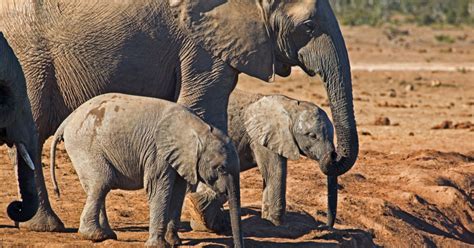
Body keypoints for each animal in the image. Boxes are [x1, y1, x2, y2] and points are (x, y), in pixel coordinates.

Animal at [49, 93, 243, 248]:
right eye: (221, 168)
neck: (199, 129)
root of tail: (68, 119)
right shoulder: (158, 153)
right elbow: (159, 189)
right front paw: (158, 246)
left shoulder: (181, 158)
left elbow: (178, 192)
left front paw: (175, 243)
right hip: (84, 145)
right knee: (101, 183)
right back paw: (94, 236)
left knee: (98, 187)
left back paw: (106, 236)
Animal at [189, 89, 336, 232]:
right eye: (312, 136)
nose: (323, 227)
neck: (289, 105)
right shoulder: (261, 138)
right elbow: (273, 173)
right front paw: (275, 224)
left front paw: (267, 220)